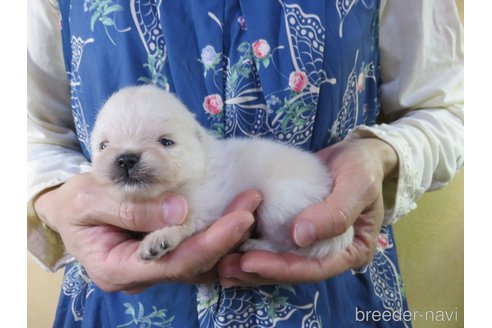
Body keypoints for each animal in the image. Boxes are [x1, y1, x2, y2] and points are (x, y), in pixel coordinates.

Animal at [90, 86, 354, 260]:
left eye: (165, 142)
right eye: (103, 146)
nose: (126, 159)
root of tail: (325, 188)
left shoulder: (205, 206)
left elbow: (186, 223)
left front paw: (158, 240)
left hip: (280, 208)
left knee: (292, 244)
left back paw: (256, 246)